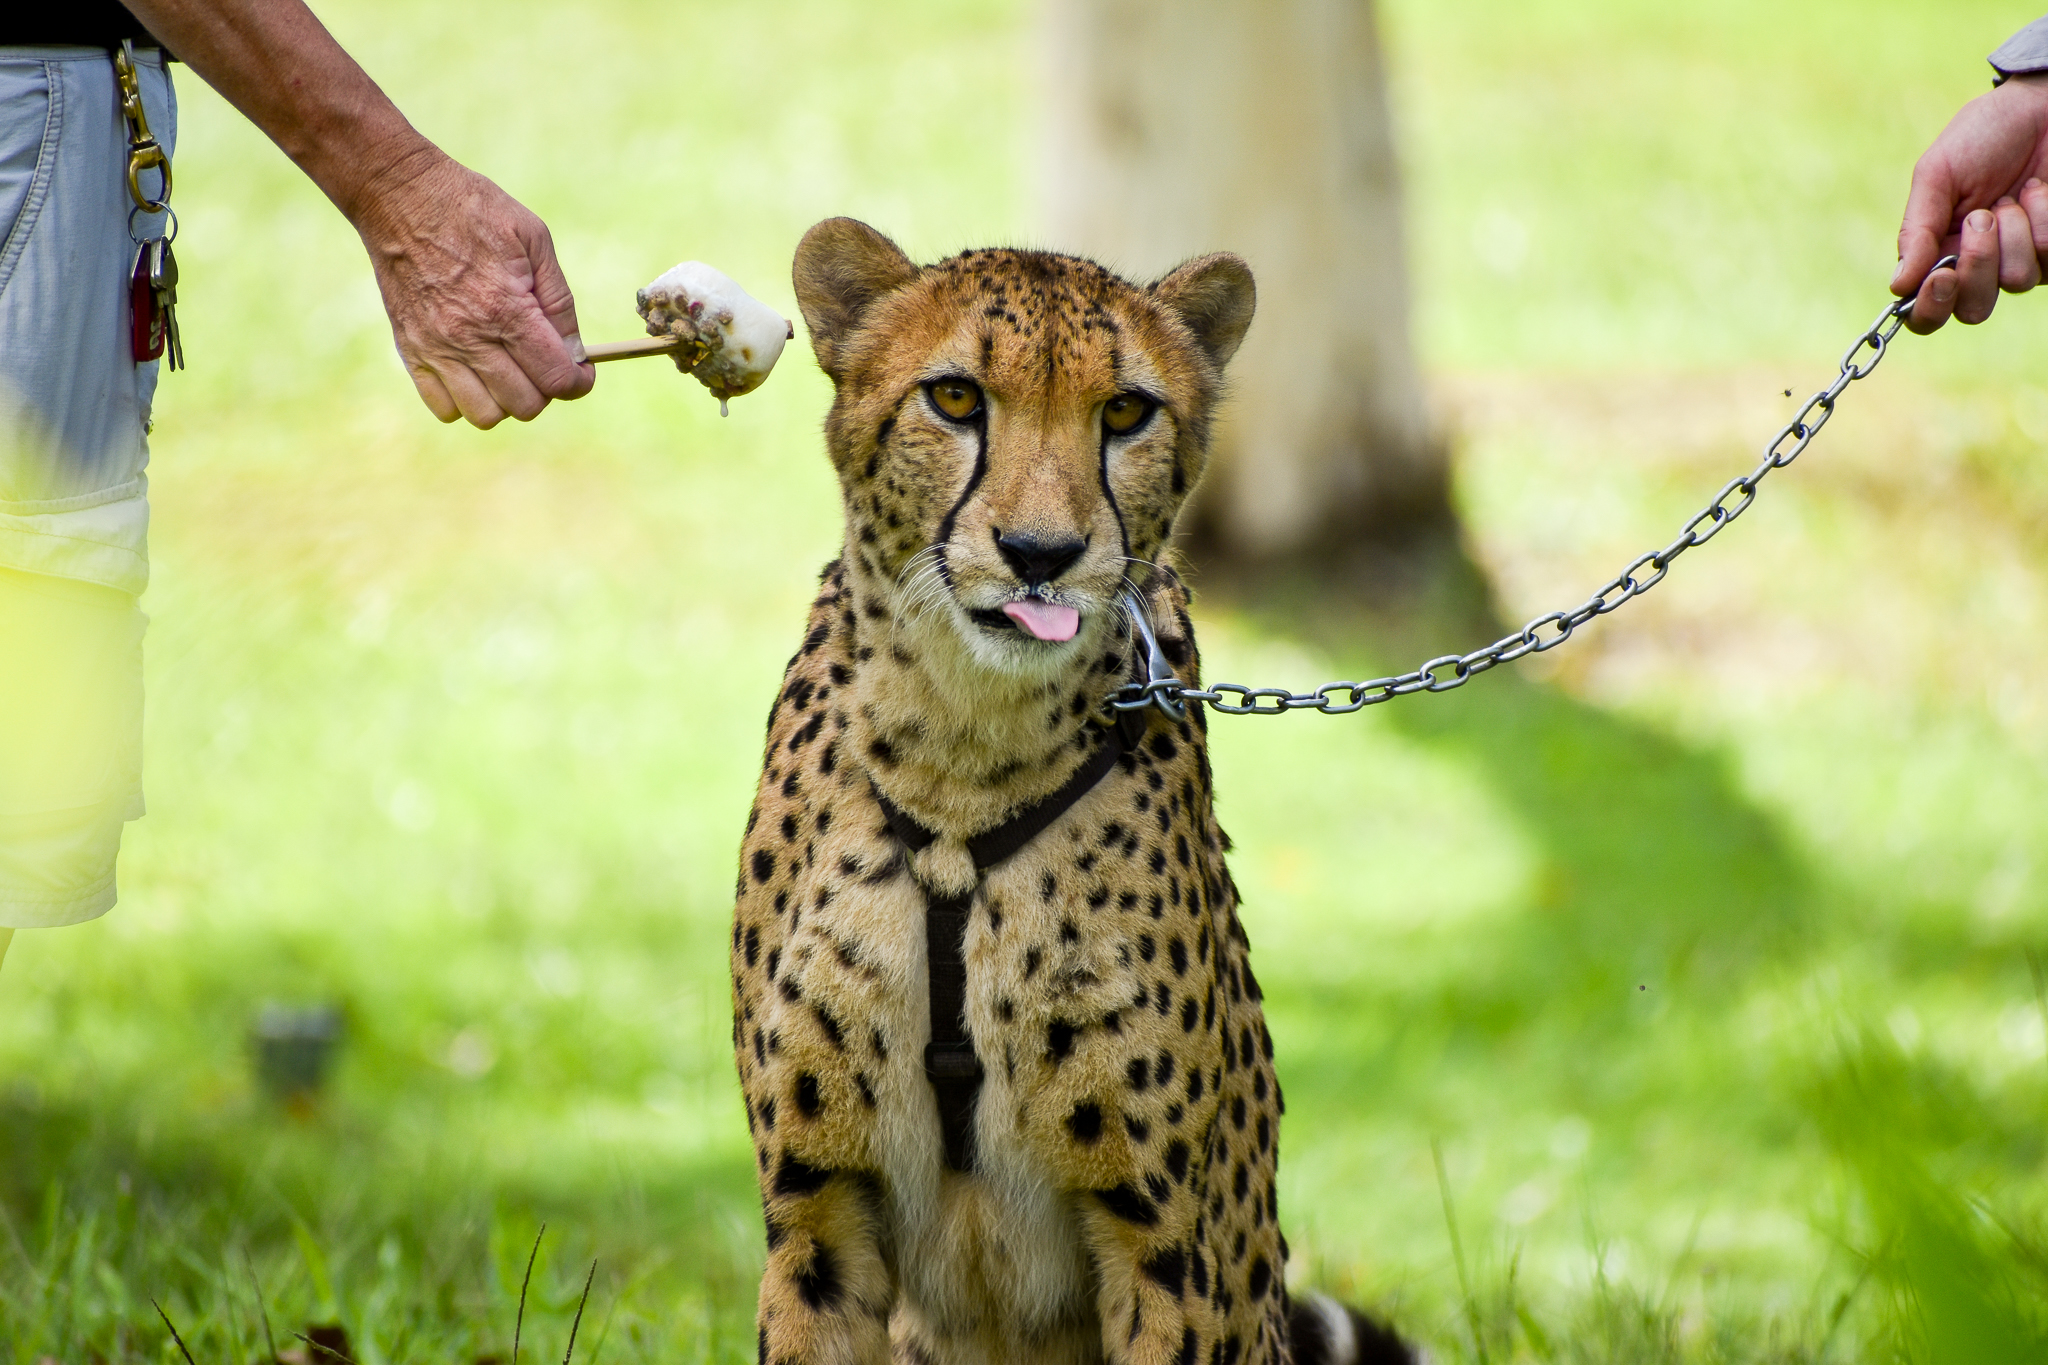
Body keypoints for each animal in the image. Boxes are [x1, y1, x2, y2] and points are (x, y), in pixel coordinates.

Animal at [728, 217, 1414, 1365]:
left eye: (1126, 411)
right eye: (955, 398)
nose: (1039, 554)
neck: (960, 759)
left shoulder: (1163, 1241)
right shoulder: (816, 1212)